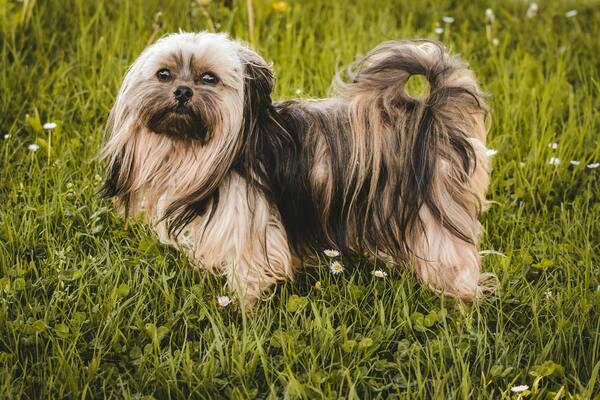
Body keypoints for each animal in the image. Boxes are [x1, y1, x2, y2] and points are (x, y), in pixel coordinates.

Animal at [101, 32, 494, 308]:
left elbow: (249, 273)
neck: (201, 150)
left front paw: (243, 310)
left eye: (209, 78)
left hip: (434, 211)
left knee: (455, 258)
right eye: (164, 74)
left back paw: (461, 302)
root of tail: (432, 113)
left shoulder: (252, 229)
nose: (182, 92)